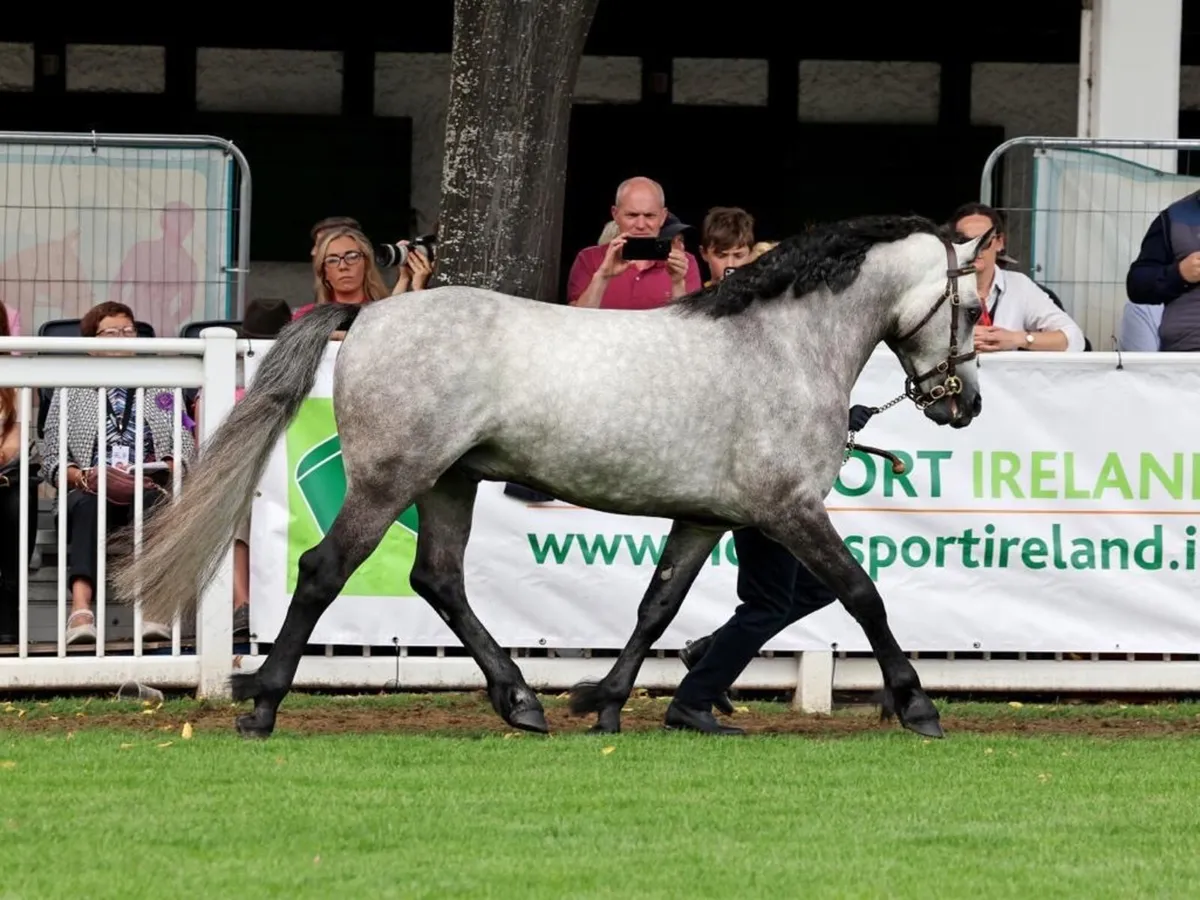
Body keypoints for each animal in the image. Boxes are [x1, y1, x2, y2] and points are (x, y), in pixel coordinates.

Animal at [109, 213, 992, 741]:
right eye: (972, 309)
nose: (968, 402)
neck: (780, 346)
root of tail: (372, 313)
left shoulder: (706, 516)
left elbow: (657, 607)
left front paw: (603, 701)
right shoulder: (790, 509)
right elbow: (862, 593)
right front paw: (917, 703)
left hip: (450, 483)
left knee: (438, 579)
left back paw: (523, 701)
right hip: (393, 479)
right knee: (325, 569)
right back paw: (262, 706)